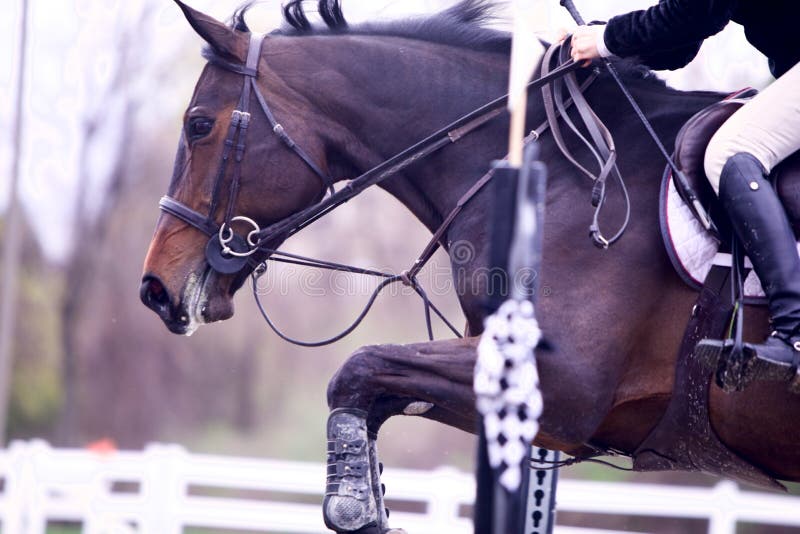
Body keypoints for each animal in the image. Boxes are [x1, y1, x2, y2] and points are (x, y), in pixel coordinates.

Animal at [141, 0, 800, 532]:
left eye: (198, 125)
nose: (154, 289)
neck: (564, 174)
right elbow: (378, 388)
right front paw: (369, 495)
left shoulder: (567, 386)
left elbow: (357, 368)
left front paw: (351, 505)